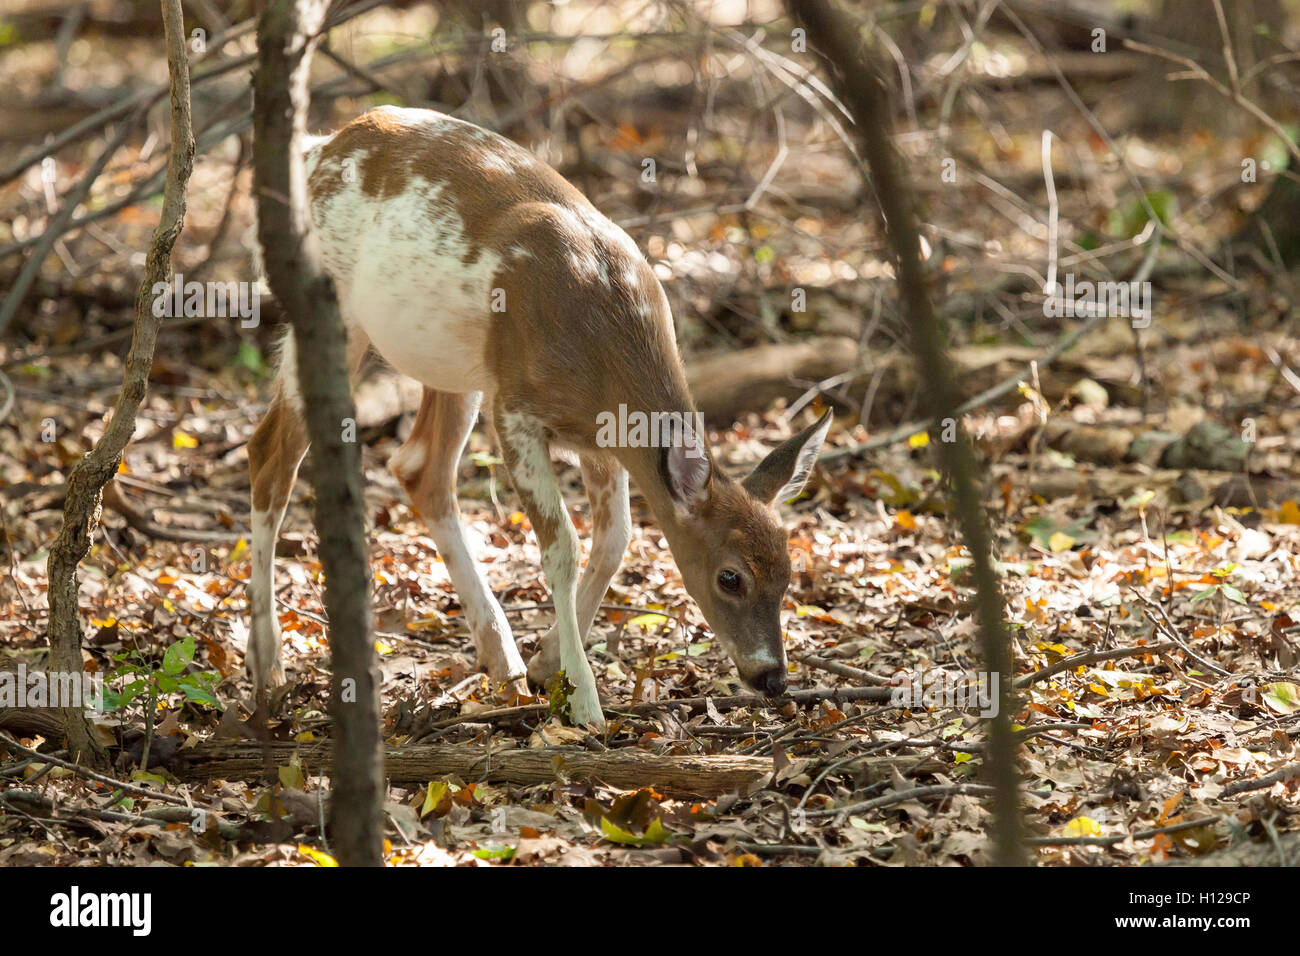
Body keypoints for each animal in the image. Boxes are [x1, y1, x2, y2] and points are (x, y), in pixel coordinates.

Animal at [245, 104, 832, 728]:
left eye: (788, 573)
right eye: (730, 577)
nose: (772, 677)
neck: (601, 337)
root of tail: (319, 147)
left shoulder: (601, 435)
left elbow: (616, 540)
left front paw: (547, 663)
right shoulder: (516, 408)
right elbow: (563, 547)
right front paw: (585, 701)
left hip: (456, 365)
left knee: (419, 467)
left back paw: (500, 658)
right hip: (339, 314)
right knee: (271, 454)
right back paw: (268, 669)